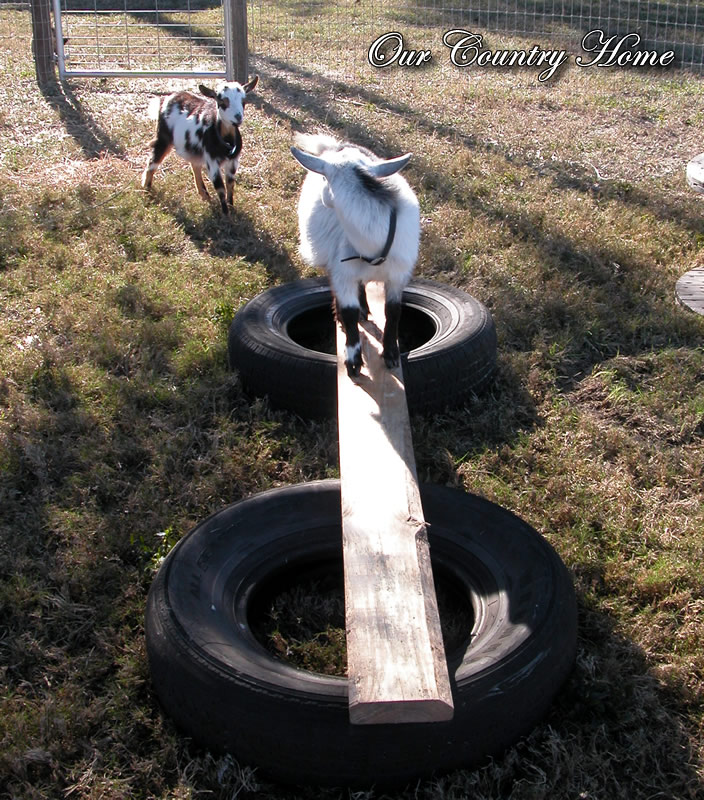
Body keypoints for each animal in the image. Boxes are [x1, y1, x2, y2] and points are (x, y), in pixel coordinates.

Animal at [141, 77, 258, 215]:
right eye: (222, 101)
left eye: (243, 101)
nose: (238, 117)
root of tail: (167, 98)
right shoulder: (212, 160)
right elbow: (220, 187)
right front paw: (225, 214)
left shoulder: (233, 161)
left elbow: (230, 184)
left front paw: (231, 207)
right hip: (164, 138)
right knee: (153, 161)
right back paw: (147, 189)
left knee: (194, 165)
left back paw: (205, 195)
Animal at [291, 133, 420, 377]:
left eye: (325, 179)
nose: (324, 197)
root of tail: (336, 145)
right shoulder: (343, 272)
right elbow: (348, 311)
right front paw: (353, 360)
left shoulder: (397, 275)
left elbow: (393, 311)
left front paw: (391, 354)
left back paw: (365, 308)